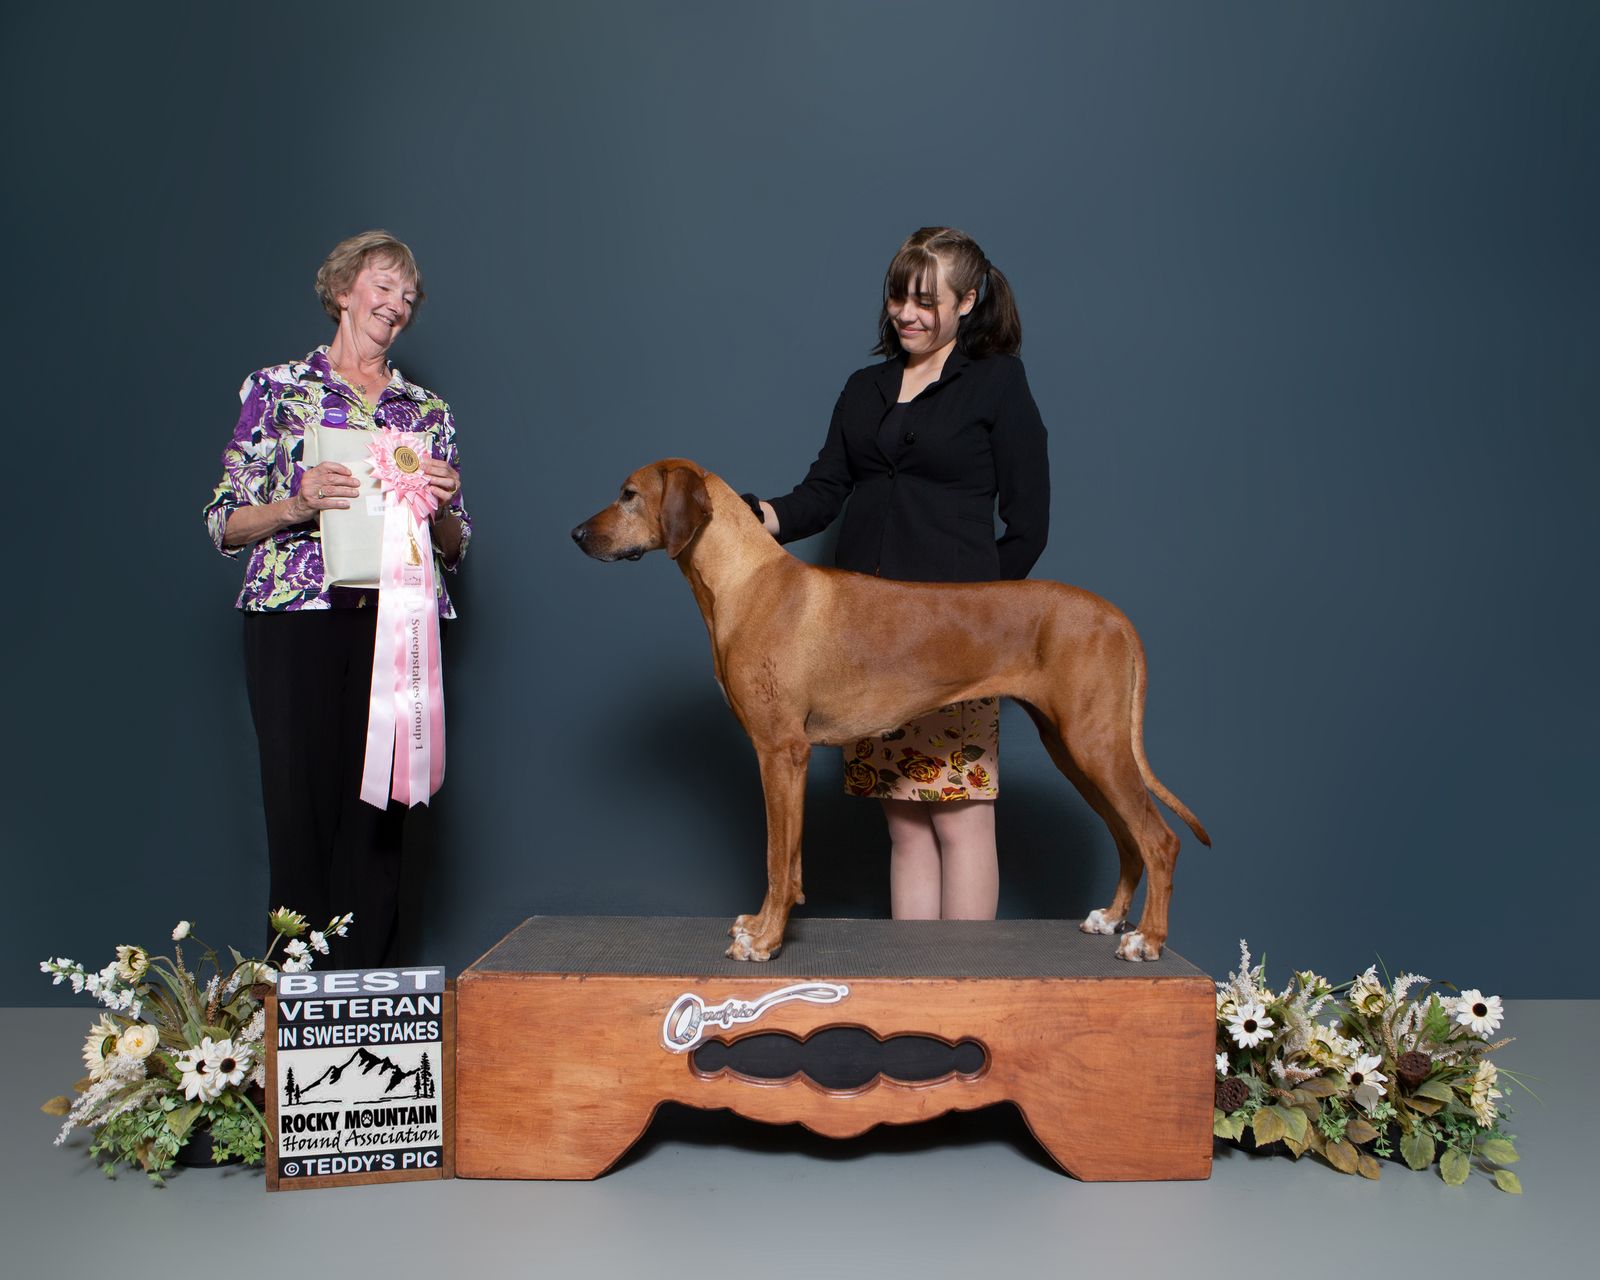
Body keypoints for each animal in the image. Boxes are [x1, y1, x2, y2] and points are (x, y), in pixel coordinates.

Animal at [572, 459, 1210, 963]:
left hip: (1094, 743)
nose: (576, 533)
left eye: (628, 494)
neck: (744, 579)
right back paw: (1112, 919)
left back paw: (1147, 939)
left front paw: (766, 940)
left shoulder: (780, 752)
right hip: (1074, 749)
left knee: (1158, 840)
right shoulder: (785, 758)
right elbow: (791, 862)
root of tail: (1114, 615)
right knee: (1127, 837)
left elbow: (778, 858)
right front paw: (763, 927)